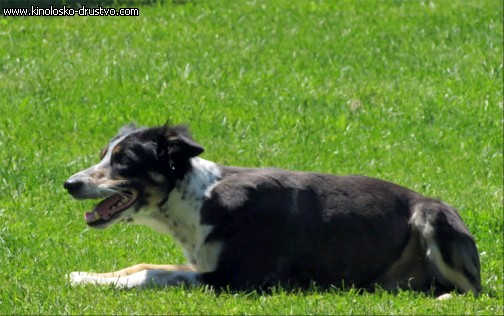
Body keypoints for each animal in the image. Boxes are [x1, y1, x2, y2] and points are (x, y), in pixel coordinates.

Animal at [63, 123, 480, 296]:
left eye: (124, 160)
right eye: (104, 155)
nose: (69, 184)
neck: (198, 199)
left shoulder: (237, 278)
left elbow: (150, 276)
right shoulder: (205, 264)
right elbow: (144, 266)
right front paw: (84, 276)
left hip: (431, 218)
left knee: (472, 291)